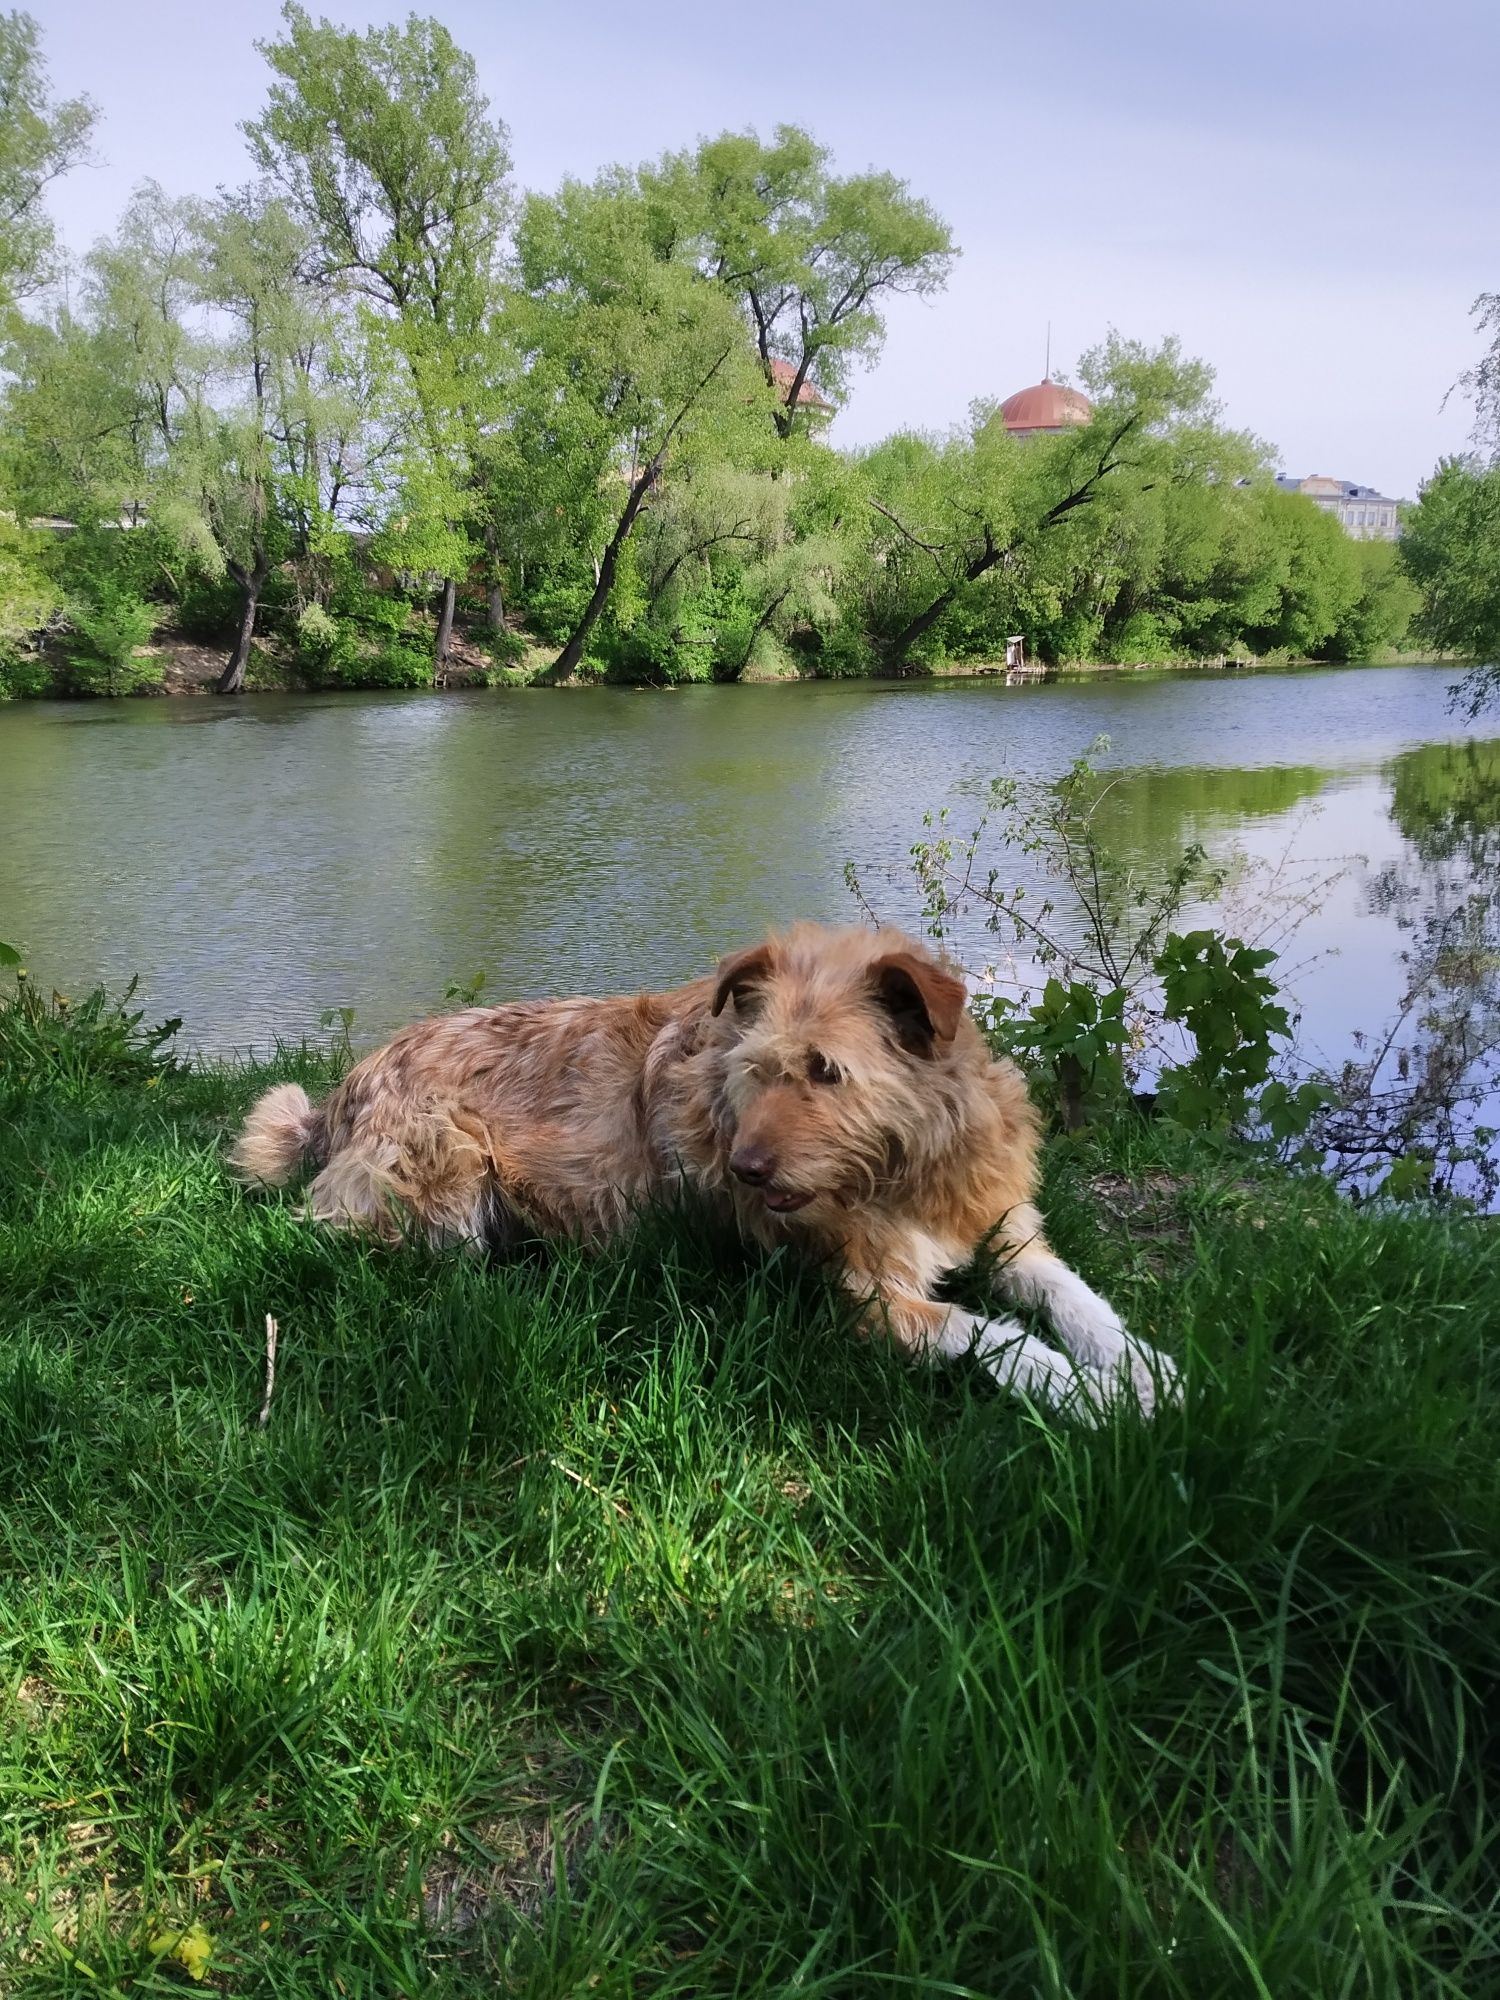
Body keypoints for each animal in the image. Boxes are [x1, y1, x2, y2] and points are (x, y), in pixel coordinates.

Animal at [229, 928, 1184, 1416]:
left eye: (826, 1071)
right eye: (755, 1069)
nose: (746, 1172)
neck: (903, 1167)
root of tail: (340, 1094)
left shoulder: (1009, 1235)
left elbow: (1076, 1298)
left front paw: (1143, 1369)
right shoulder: (869, 1299)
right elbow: (995, 1334)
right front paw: (1084, 1391)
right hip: (444, 1162)